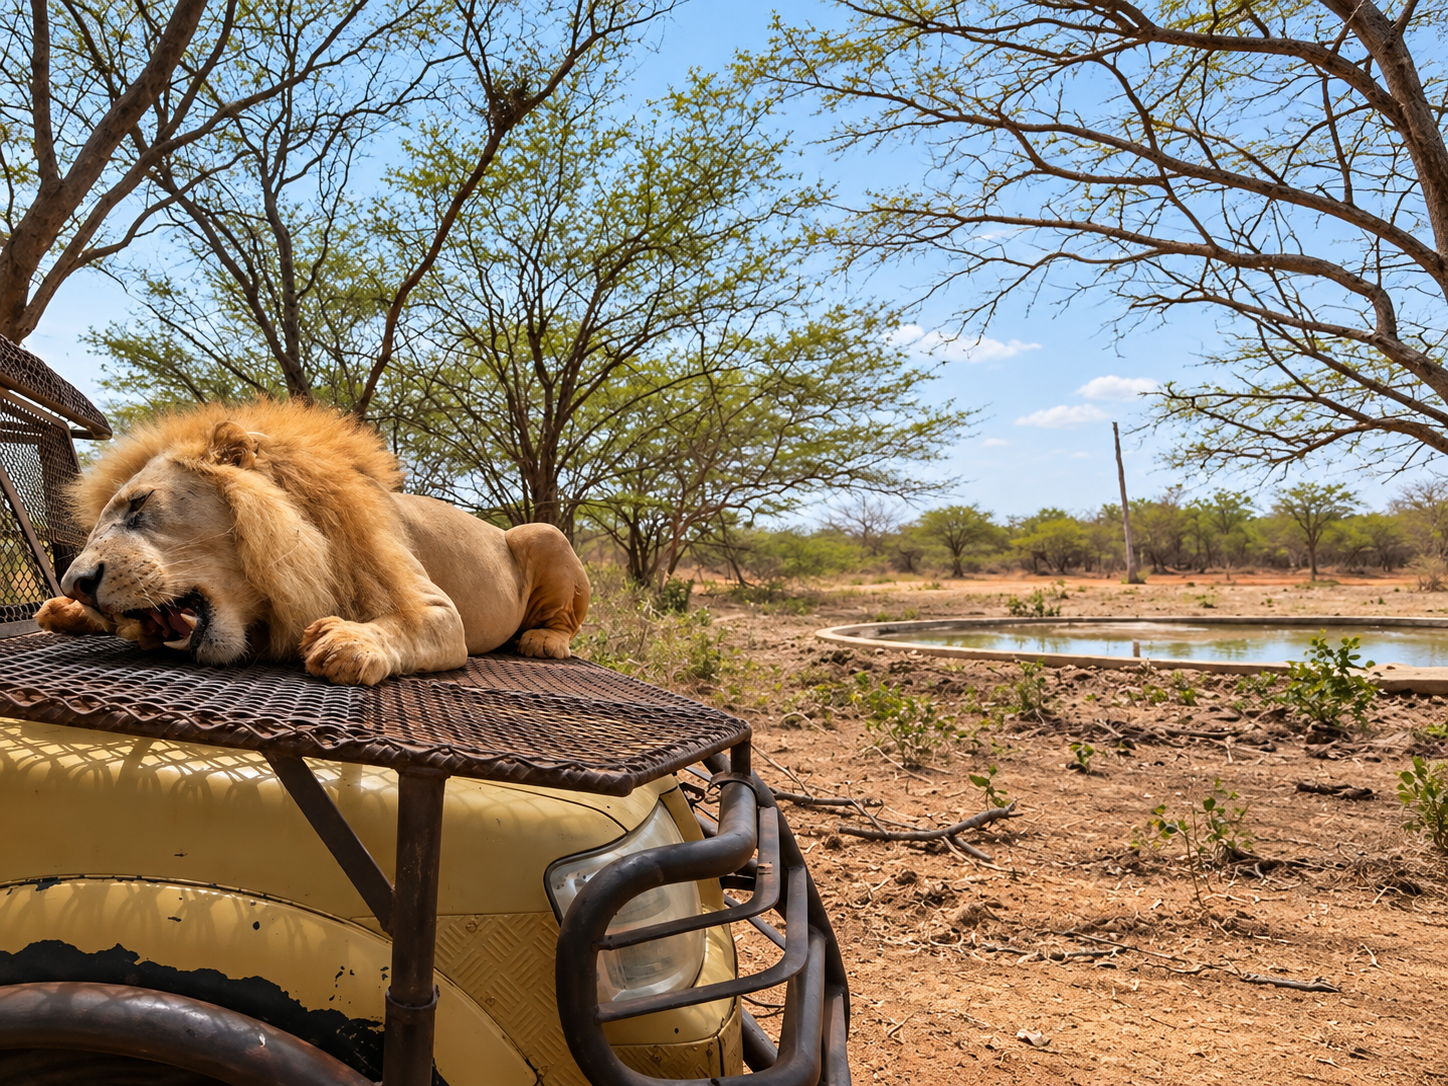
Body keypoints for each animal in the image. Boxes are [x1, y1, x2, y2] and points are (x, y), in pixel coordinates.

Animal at [34, 399, 590, 686]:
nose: (76, 582)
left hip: (543, 533)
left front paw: (349, 641)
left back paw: (543, 640)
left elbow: (407, 624)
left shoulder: (439, 611)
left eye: (140, 504)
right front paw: (68, 610)